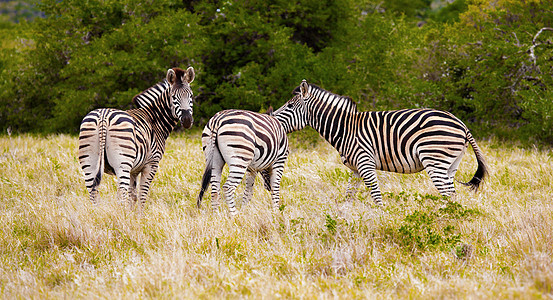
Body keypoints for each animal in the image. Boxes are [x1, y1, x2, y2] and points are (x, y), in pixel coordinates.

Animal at [77, 67, 194, 212]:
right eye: (173, 97)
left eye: (191, 96)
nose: (187, 120)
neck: (155, 120)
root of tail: (103, 116)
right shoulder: (151, 164)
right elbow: (142, 195)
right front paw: (140, 215)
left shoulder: (133, 170)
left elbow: (133, 196)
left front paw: (132, 214)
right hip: (122, 163)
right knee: (121, 194)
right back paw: (121, 216)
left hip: (89, 162)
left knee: (93, 193)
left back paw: (98, 214)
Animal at [272, 79, 488, 206]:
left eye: (289, 106)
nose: (272, 118)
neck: (345, 128)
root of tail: (461, 123)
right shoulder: (355, 168)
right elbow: (348, 196)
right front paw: (344, 217)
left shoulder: (365, 163)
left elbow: (376, 195)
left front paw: (382, 219)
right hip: (451, 164)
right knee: (452, 195)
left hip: (435, 160)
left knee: (448, 194)